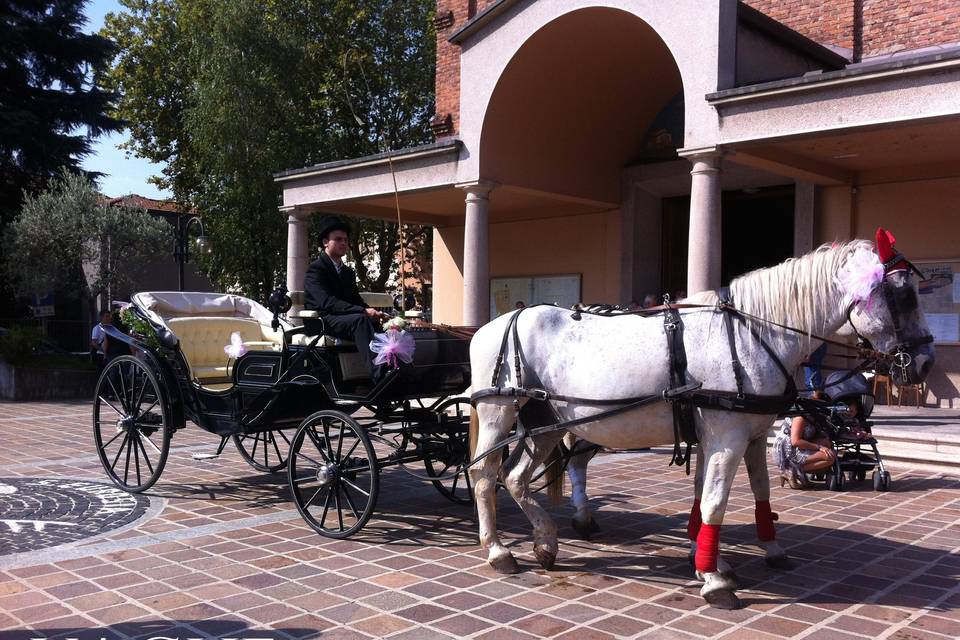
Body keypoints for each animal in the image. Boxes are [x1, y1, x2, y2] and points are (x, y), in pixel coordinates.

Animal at [472, 238, 936, 608]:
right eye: (902, 296)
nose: (926, 362)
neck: (751, 334)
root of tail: (495, 324)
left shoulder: (749, 437)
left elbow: (751, 494)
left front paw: (734, 555)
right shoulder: (725, 437)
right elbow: (715, 502)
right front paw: (714, 580)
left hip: (547, 422)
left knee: (516, 477)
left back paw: (546, 541)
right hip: (499, 411)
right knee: (484, 475)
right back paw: (498, 551)